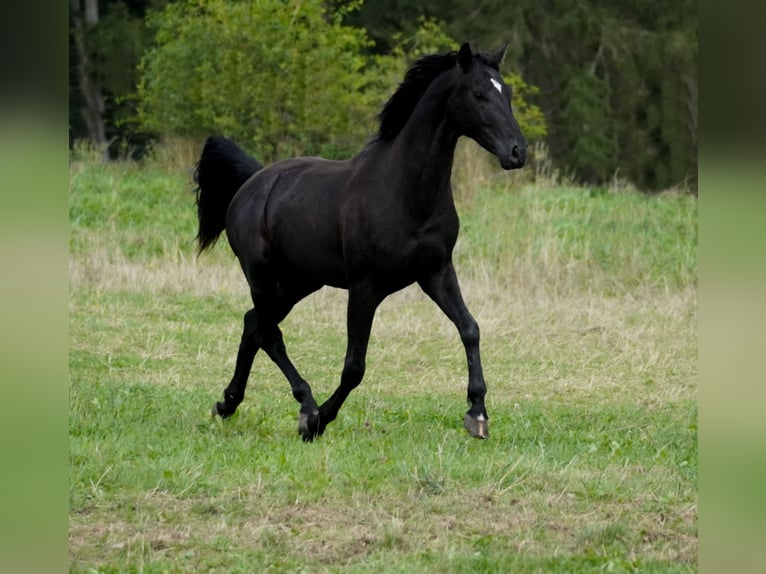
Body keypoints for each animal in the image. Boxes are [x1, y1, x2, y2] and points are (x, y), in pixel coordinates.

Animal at [195, 44, 528, 440]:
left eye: (507, 93)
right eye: (479, 93)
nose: (517, 152)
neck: (406, 192)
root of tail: (251, 183)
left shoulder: (436, 272)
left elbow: (470, 329)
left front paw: (477, 413)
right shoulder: (365, 287)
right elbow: (354, 366)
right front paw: (320, 420)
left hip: (299, 281)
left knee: (253, 325)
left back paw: (228, 403)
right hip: (262, 276)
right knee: (267, 332)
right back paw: (305, 407)